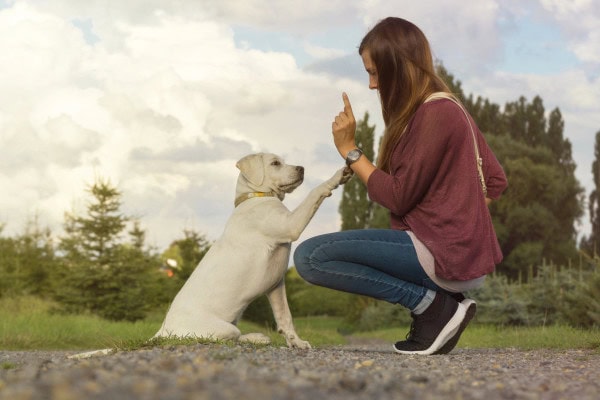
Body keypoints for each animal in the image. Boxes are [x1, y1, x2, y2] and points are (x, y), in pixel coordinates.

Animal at [154, 153, 352, 346]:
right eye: (275, 163)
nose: (301, 169)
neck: (257, 196)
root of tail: (161, 332)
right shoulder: (290, 225)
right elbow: (314, 192)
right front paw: (337, 177)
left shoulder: (275, 284)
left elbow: (285, 317)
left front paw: (297, 343)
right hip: (225, 328)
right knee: (230, 337)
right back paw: (256, 338)